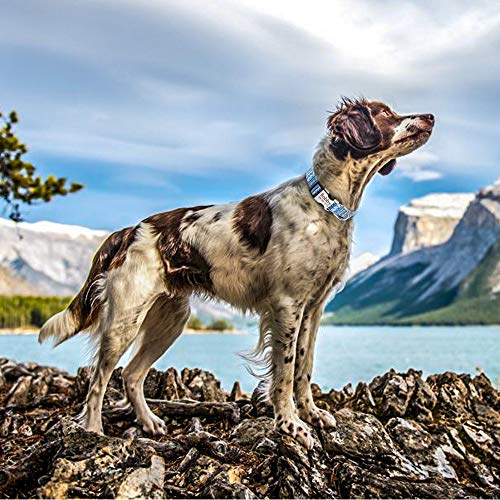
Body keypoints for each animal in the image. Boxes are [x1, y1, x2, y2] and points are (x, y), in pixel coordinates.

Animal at [40, 98, 434, 450]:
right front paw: (291, 424)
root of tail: (130, 230)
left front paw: (311, 413)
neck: (324, 204)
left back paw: (150, 422)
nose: (430, 116)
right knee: (99, 379)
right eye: (386, 113)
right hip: (125, 319)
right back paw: (93, 431)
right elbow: (285, 373)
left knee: (131, 374)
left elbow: (305, 367)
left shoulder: (313, 308)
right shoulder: (287, 306)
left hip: (170, 319)